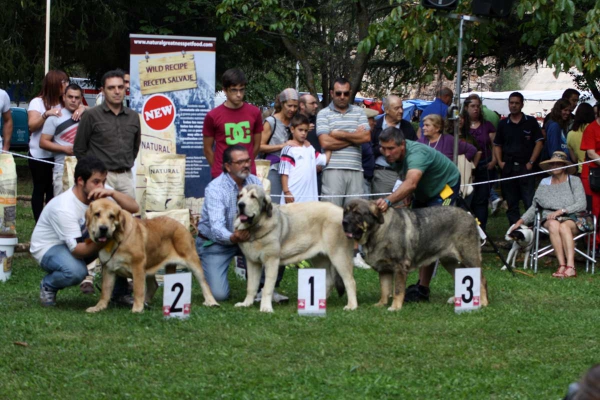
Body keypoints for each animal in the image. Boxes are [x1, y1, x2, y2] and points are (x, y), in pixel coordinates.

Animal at [85, 198, 219, 314]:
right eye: (97, 214)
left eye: (112, 216)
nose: (103, 228)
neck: (116, 239)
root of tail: (181, 225)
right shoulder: (108, 268)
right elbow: (105, 291)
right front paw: (98, 307)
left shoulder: (138, 266)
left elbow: (138, 289)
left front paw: (137, 309)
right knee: (153, 285)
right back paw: (147, 302)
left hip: (192, 260)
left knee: (204, 282)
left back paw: (211, 302)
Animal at [233, 184, 356, 312]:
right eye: (240, 196)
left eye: (253, 196)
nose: (240, 204)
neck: (255, 228)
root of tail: (342, 211)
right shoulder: (252, 262)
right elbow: (251, 286)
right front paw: (246, 303)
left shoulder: (271, 261)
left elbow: (267, 287)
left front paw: (266, 307)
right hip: (320, 258)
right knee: (329, 280)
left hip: (339, 256)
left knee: (350, 281)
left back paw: (351, 305)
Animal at [342, 200, 488, 312]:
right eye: (345, 212)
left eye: (357, 213)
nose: (343, 222)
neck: (377, 231)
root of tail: (470, 216)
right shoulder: (384, 269)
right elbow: (384, 288)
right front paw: (380, 304)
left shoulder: (400, 267)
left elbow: (397, 290)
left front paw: (395, 307)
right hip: (450, 261)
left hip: (469, 257)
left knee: (481, 279)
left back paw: (483, 302)